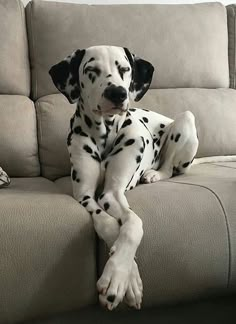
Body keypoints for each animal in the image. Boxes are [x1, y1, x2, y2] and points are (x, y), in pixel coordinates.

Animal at [49, 45, 199, 312]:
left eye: (125, 69)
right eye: (91, 70)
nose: (117, 93)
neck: (104, 133)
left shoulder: (114, 192)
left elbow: (133, 224)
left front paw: (119, 275)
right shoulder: (86, 196)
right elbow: (107, 223)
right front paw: (126, 278)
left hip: (185, 120)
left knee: (170, 168)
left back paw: (153, 174)